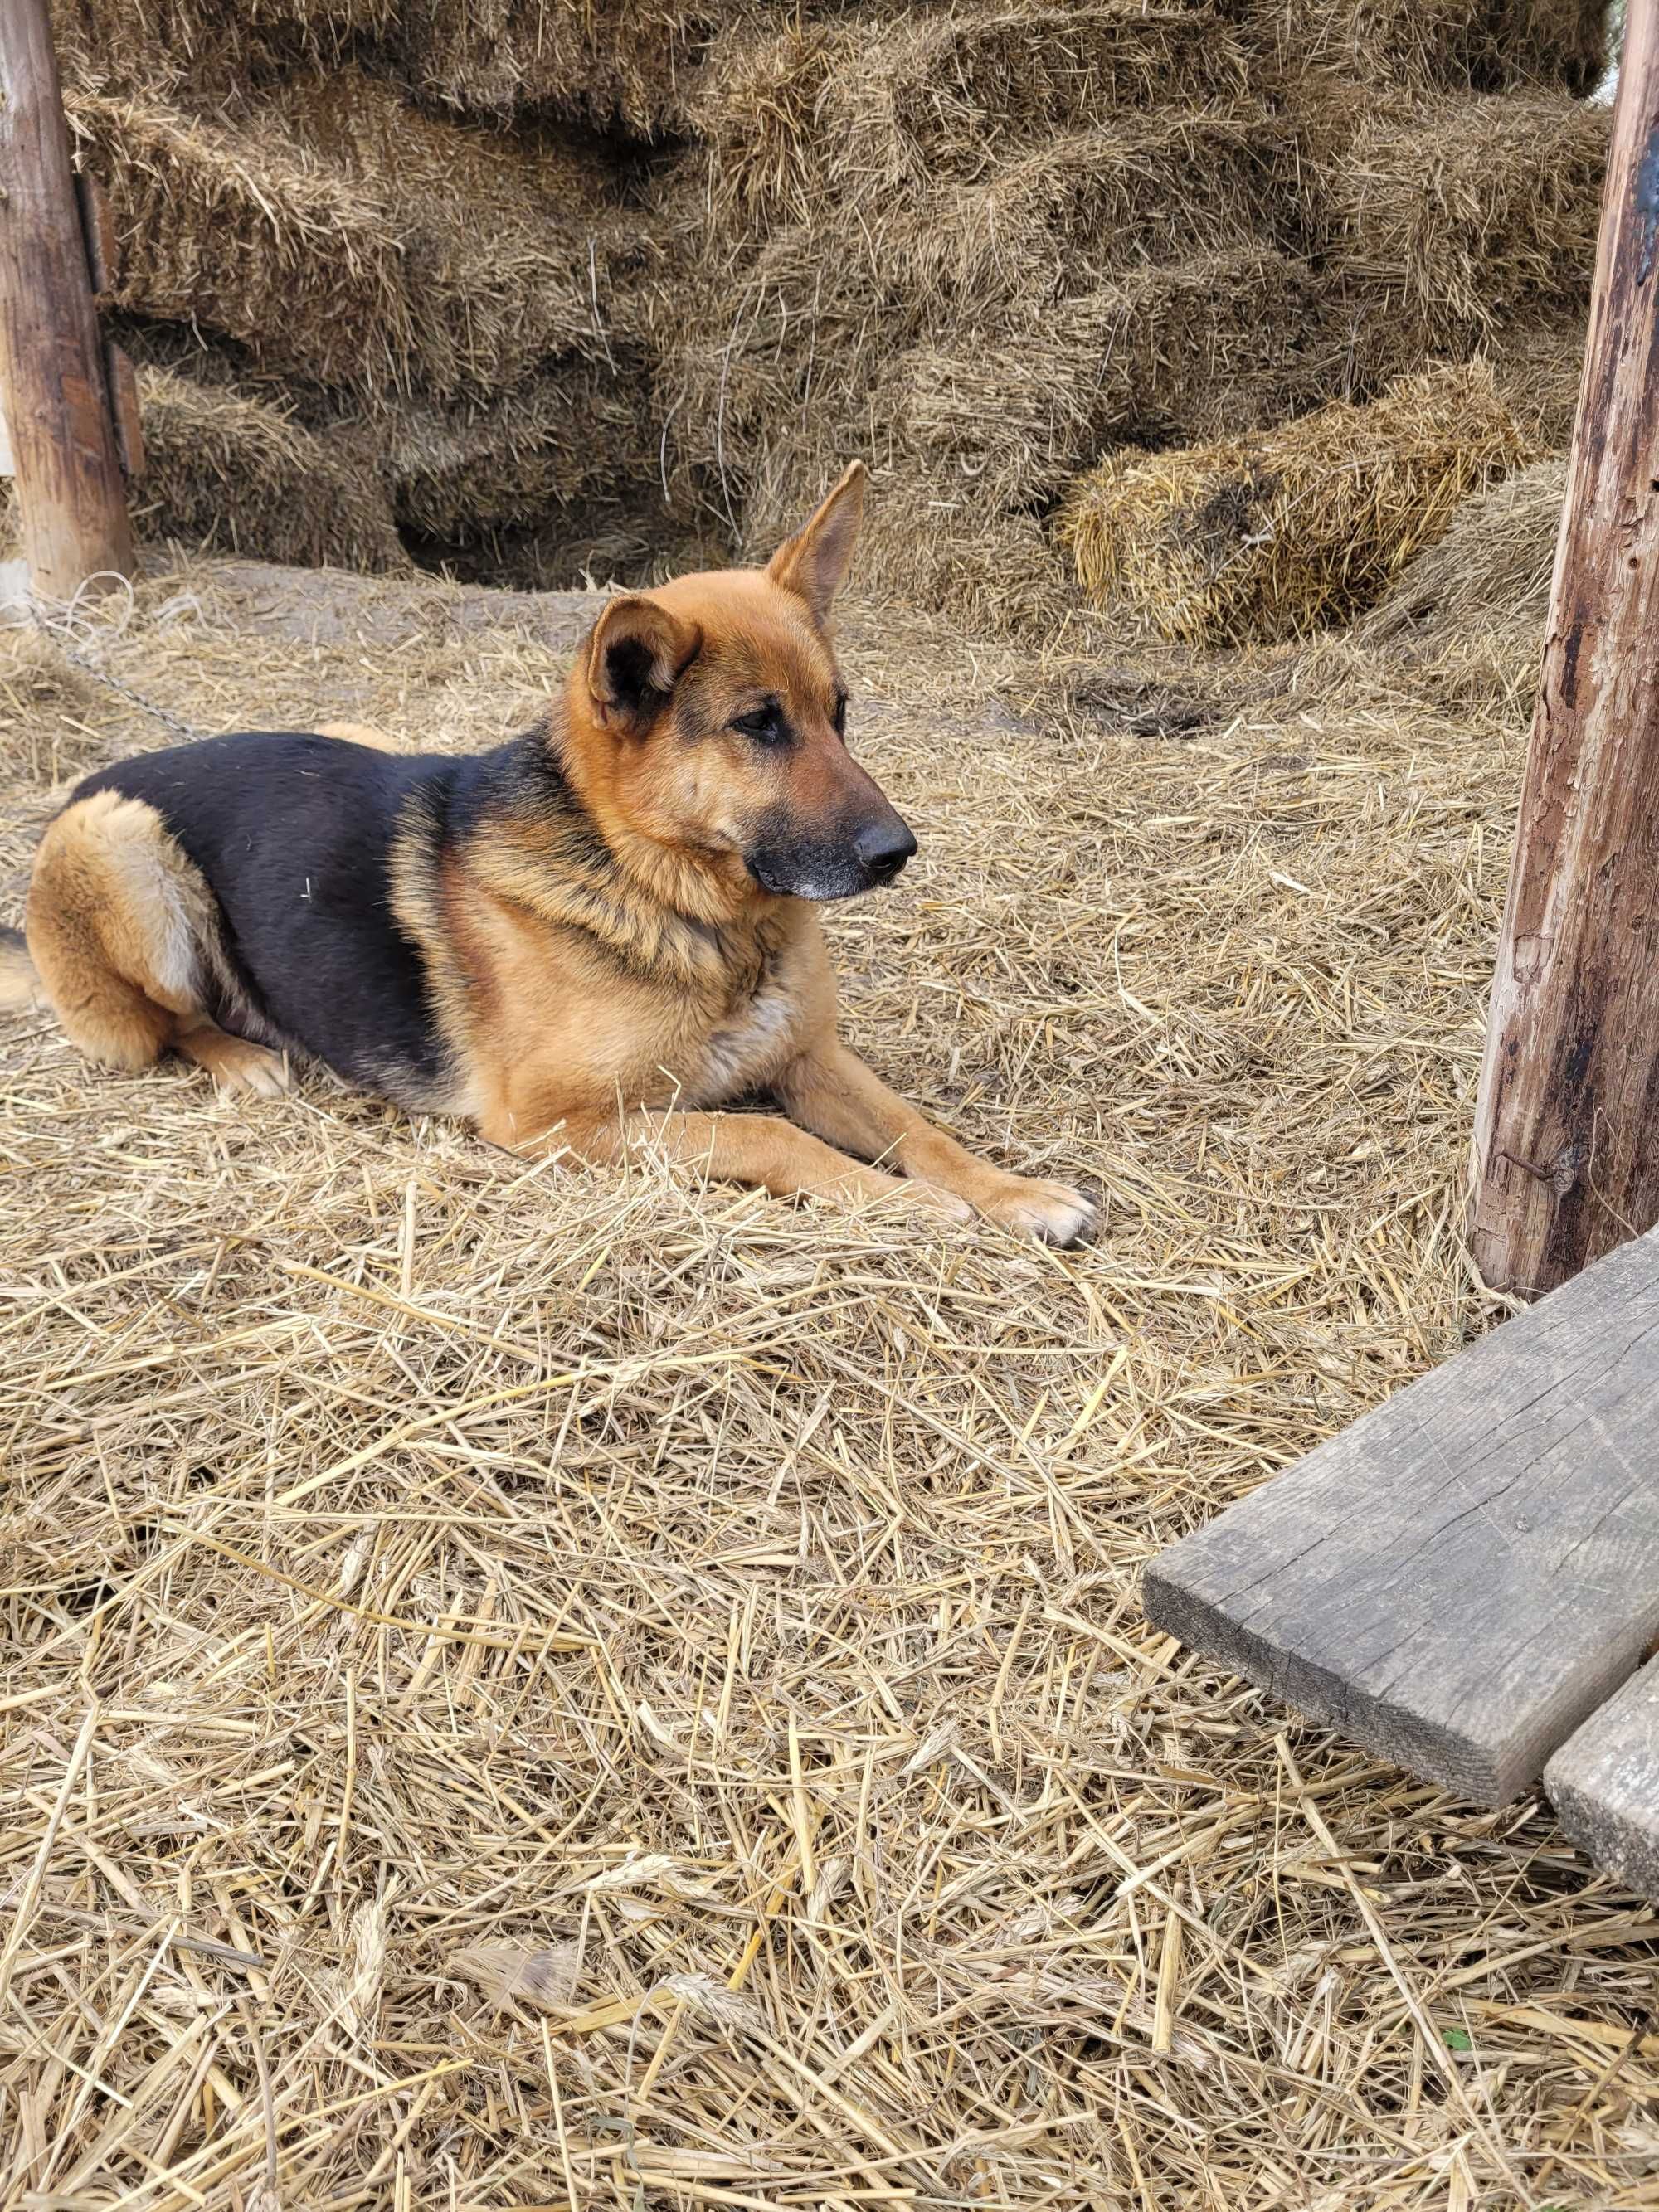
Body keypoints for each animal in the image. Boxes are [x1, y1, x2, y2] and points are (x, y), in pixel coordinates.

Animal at [6, 466, 1106, 1247]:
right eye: (759, 726)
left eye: (839, 716)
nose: (898, 852)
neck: (672, 895)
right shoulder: (558, 1124)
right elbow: (769, 1134)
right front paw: (910, 1209)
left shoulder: (809, 1057)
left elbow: (917, 1128)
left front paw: (1009, 1190)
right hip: (124, 848)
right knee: (165, 1024)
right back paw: (242, 1059)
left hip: (348, 733)